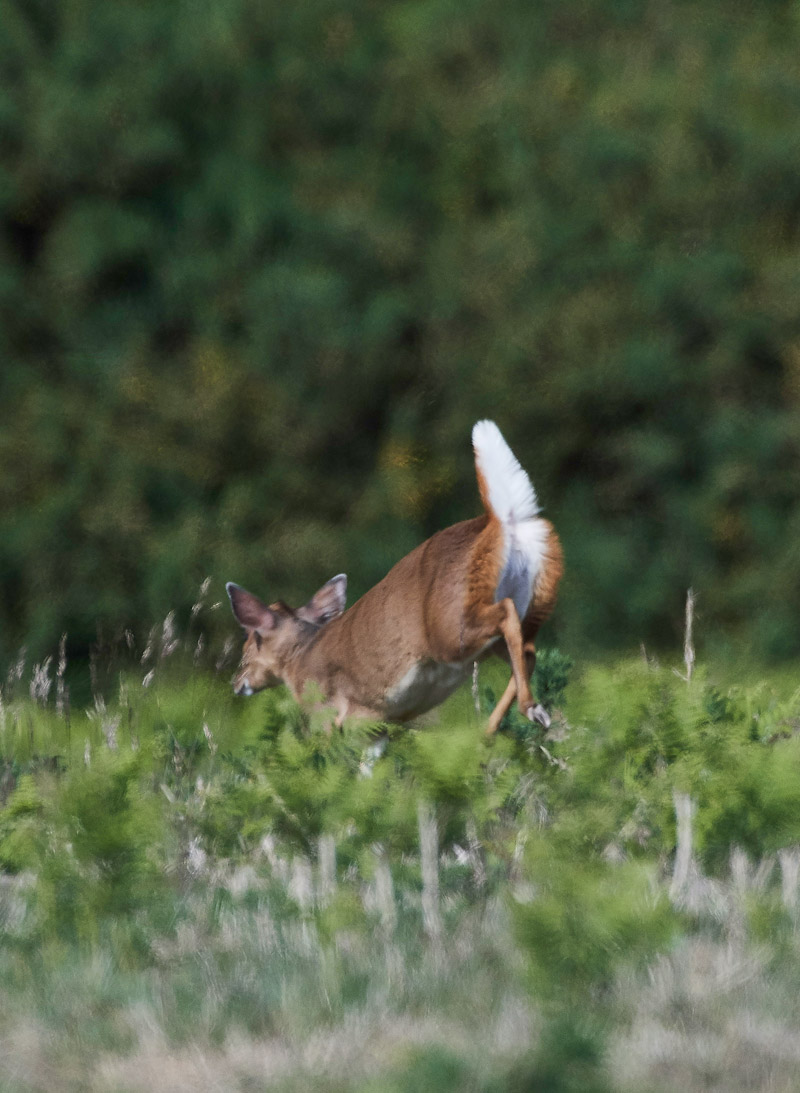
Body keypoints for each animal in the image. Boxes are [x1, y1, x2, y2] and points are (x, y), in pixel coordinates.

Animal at [225, 417, 563, 734]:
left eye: (248, 646)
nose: (236, 682)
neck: (300, 661)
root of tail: (499, 520)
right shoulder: (379, 721)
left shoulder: (333, 716)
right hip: (527, 604)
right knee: (528, 650)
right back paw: (498, 728)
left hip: (451, 629)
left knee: (506, 616)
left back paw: (524, 711)